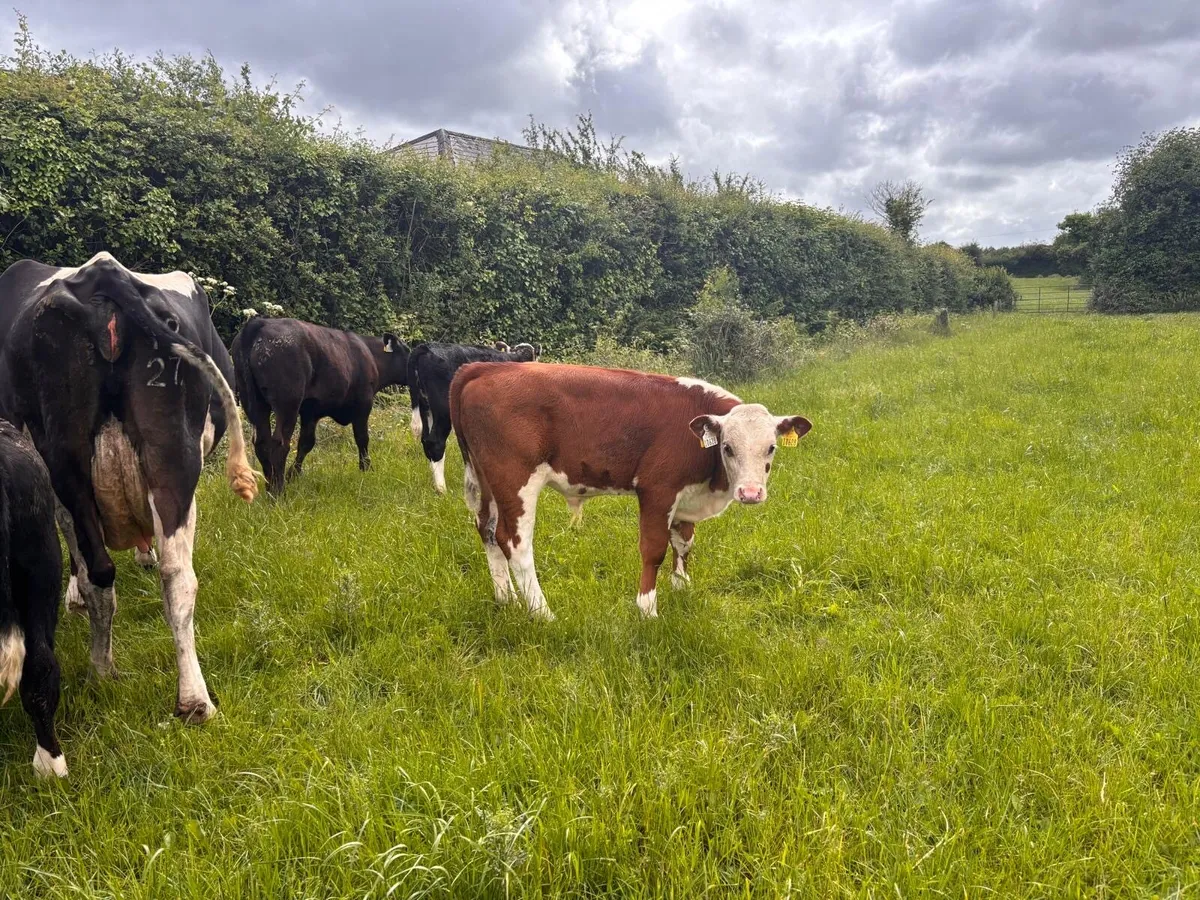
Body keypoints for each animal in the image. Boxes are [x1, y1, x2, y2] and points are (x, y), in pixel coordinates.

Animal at [0, 252, 258, 724]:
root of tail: (104, 272)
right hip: (171, 453)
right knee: (175, 575)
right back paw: (194, 700)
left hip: (64, 455)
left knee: (101, 571)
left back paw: (102, 670)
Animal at [231, 317, 409, 495]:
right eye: (408, 352)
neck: (371, 354)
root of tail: (260, 322)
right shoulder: (363, 404)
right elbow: (362, 438)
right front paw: (366, 469)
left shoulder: (311, 411)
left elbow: (306, 442)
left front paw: (293, 475)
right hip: (287, 404)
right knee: (279, 444)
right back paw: (278, 492)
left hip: (254, 402)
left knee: (262, 443)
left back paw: (270, 488)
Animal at [407, 340, 539, 494]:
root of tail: (426, 347)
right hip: (443, 409)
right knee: (436, 442)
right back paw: (442, 489)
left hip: (425, 407)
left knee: (426, 441)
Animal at [450, 364, 811, 620]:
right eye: (727, 447)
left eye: (771, 448)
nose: (750, 493)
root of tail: (485, 367)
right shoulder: (658, 489)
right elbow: (654, 549)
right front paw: (647, 609)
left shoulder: (685, 496)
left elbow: (684, 541)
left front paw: (681, 587)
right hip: (516, 481)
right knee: (515, 541)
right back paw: (542, 612)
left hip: (488, 482)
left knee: (487, 530)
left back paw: (506, 598)